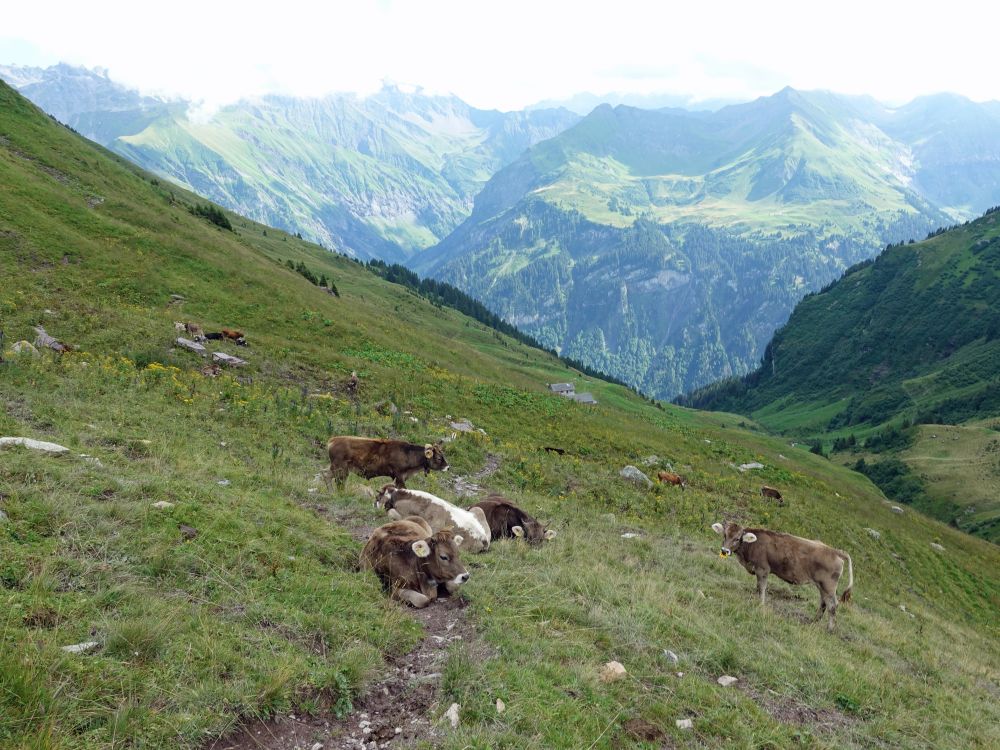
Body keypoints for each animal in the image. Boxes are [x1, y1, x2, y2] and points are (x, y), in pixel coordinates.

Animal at [708, 524, 856, 636]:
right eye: (725, 535)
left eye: (737, 538)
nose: (724, 550)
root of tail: (835, 551)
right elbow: (758, 587)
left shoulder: (763, 569)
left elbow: (761, 588)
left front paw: (760, 604)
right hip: (822, 585)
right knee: (824, 603)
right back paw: (813, 622)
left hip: (828, 585)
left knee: (832, 605)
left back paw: (829, 629)